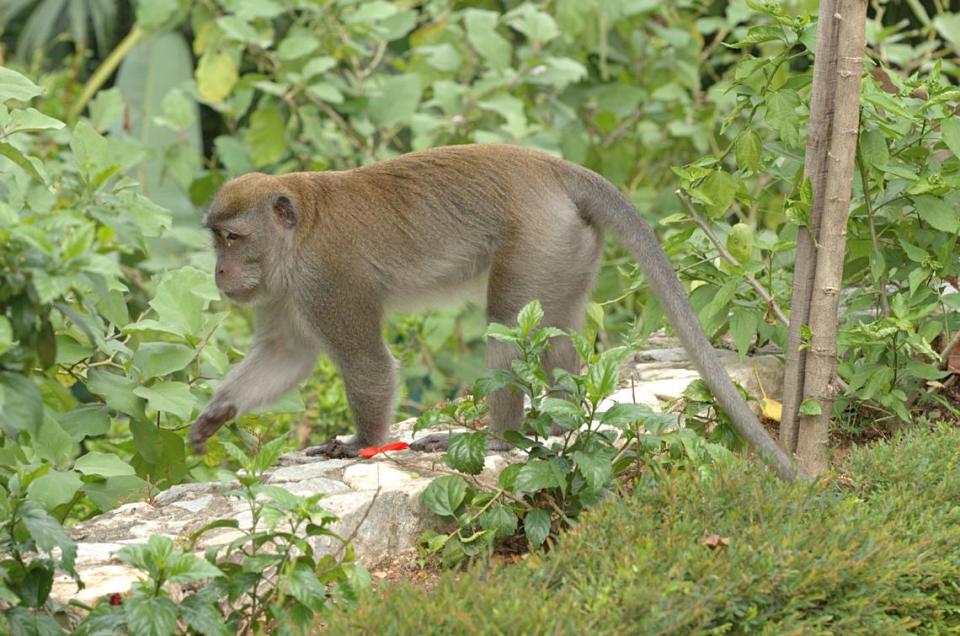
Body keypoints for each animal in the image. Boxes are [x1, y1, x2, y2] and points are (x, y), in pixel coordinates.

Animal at [193, 143, 796, 476]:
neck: (295, 238)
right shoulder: (283, 288)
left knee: (507, 327)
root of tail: (551, 169)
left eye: (233, 237)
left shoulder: (326, 281)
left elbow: (367, 364)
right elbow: (286, 352)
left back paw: (499, 437)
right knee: (554, 334)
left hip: (536, 240)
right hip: (567, 247)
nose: (220, 273)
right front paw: (216, 413)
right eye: (217, 239)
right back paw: (563, 421)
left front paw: (362, 443)